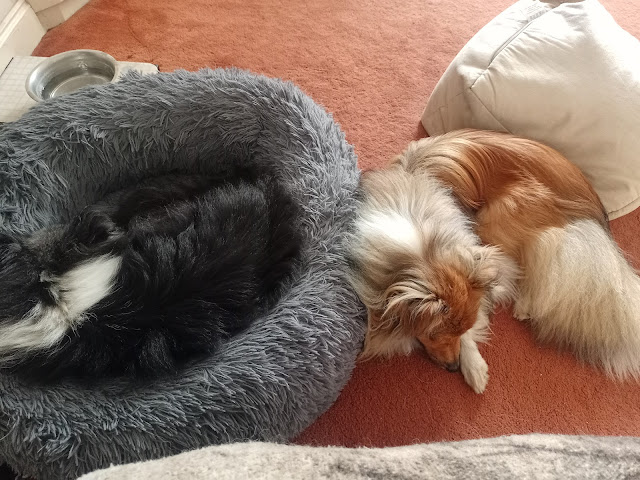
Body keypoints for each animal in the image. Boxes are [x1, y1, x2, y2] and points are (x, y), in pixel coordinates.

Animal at [351, 129, 640, 393]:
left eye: (453, 333)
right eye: (434, 335)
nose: (453, 367)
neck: (424, 246)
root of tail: (587, 209)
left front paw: (475, 368)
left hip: (496, 218)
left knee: (531, 256)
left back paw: (525, 304)